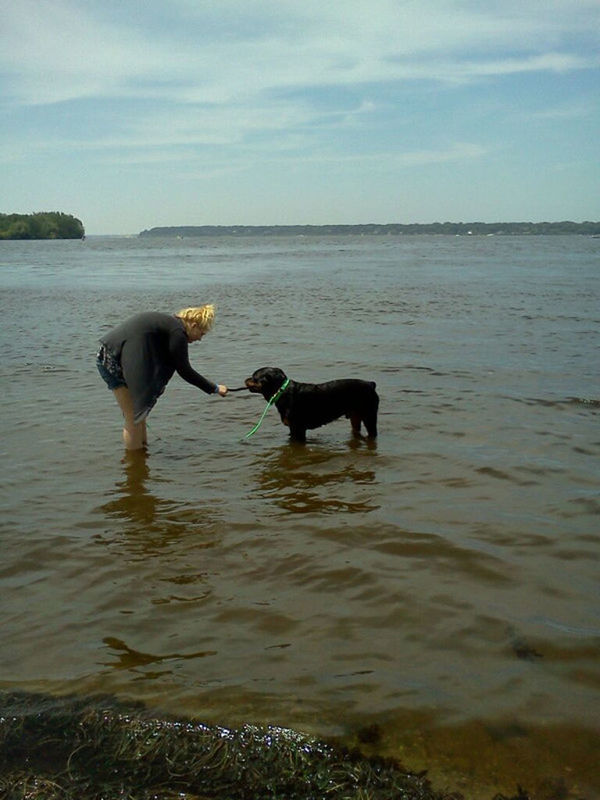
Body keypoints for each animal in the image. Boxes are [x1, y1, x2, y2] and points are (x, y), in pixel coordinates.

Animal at [245, 368, 380, 444]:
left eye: (253, 377)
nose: (245, 379)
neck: (281, 391)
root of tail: (371, 384)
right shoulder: (293, 430)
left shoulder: (298, 429)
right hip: (355, 417)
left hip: (369, 416)